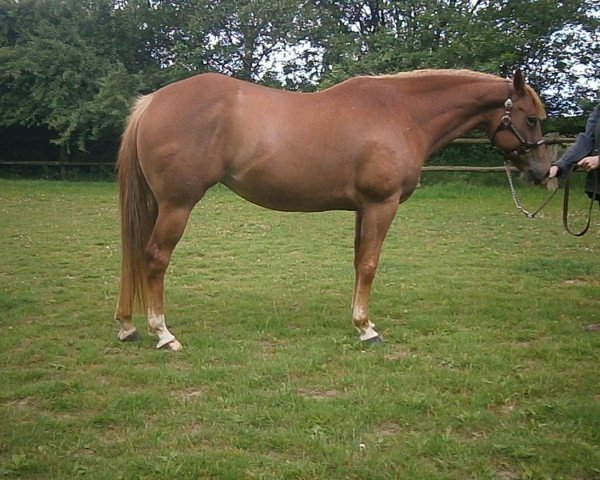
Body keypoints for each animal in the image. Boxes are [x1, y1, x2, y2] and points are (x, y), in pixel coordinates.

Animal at [116, 69, 548, 350]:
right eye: (530, 118)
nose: (543, 172)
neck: (403, 113)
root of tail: (152, 102)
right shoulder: (381, 204)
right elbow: (370, 264)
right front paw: (367, 329)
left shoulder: (363, 208)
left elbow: (358, 262)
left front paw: (358, 320)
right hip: (177, 205)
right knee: (154, 258)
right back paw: (163, 334)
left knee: (134, 255)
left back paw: (126, 326)